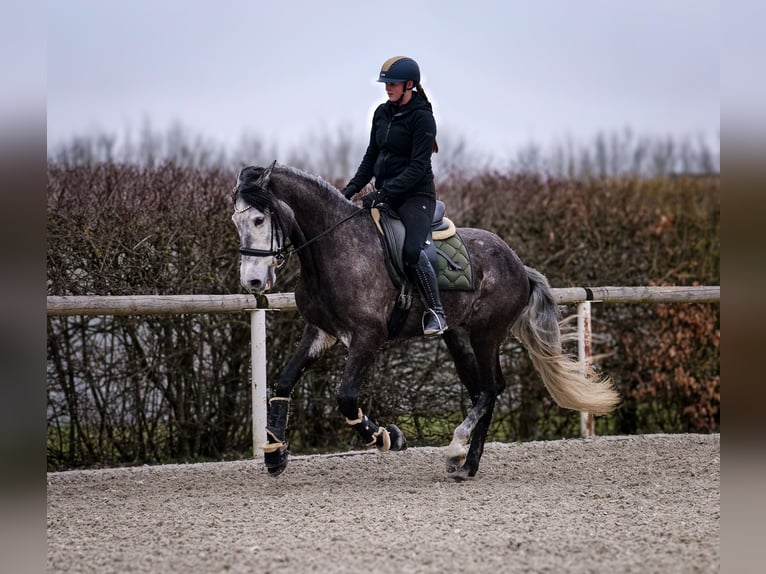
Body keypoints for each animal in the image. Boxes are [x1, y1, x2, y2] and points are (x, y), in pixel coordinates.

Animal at [231, 163, 620, 482]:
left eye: (259, 220)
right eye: (236, 222)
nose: (252, 282)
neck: (334, 249)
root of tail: (518, 265)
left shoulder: (367, 337)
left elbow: (346, 398)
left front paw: (389, 437)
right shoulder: (320, 333)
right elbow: (282, 383)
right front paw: (275, 454)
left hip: (486, 334)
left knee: (492, 388)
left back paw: (457, 448)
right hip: (458, 337)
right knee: (481, 390)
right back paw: (466, 464)